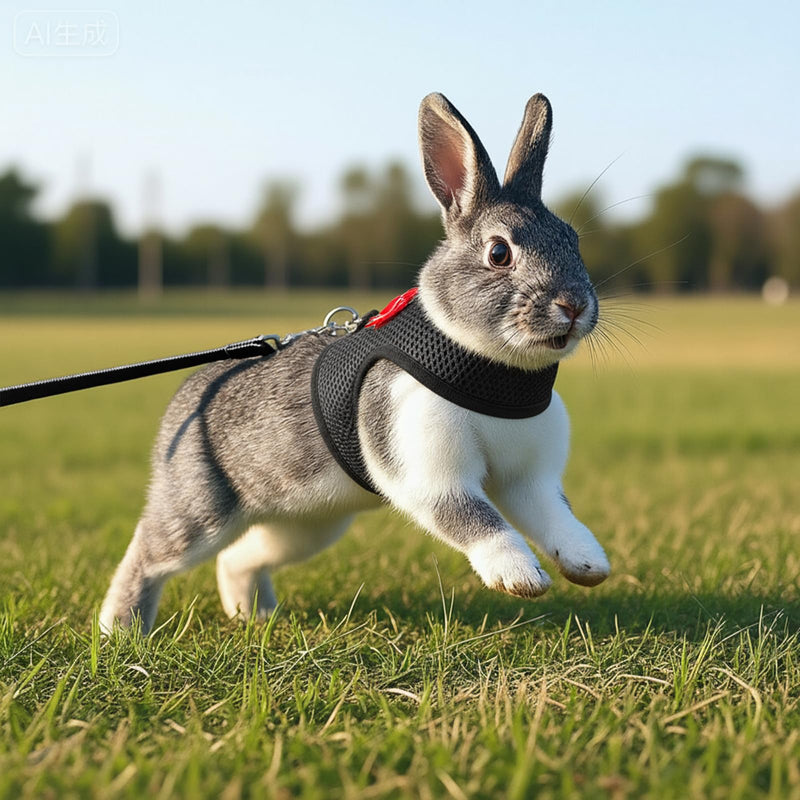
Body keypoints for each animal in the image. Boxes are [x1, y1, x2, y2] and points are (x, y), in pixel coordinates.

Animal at [100, 92, 610, 635]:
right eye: (499, 252)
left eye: (573, 241)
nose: (573, 306)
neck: (487, 368)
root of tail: (187, 402)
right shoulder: (429, 473)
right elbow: (475, 519)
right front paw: (520, 577)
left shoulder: (531, 481)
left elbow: (558, 518)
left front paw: (590, 565)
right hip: (201, 510)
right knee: (149, 557)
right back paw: (119, 630)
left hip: (308, 522)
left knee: (238, 557)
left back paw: (253, 616)